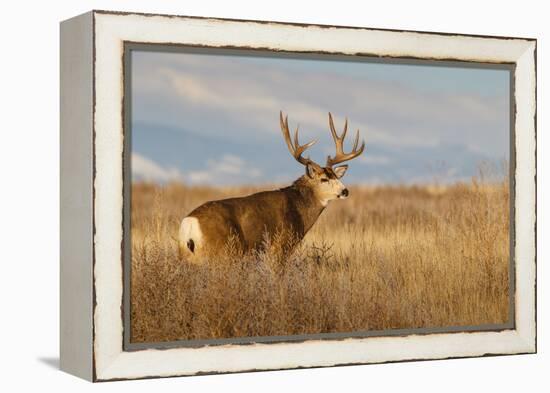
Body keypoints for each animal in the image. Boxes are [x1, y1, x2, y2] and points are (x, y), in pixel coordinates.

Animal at [178, 110, 366, 262]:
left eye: (336, 176)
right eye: (324, 179)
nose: (345, 191)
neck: (298, 209)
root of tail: (189, 226)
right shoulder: (281, 246)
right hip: (223, 251)